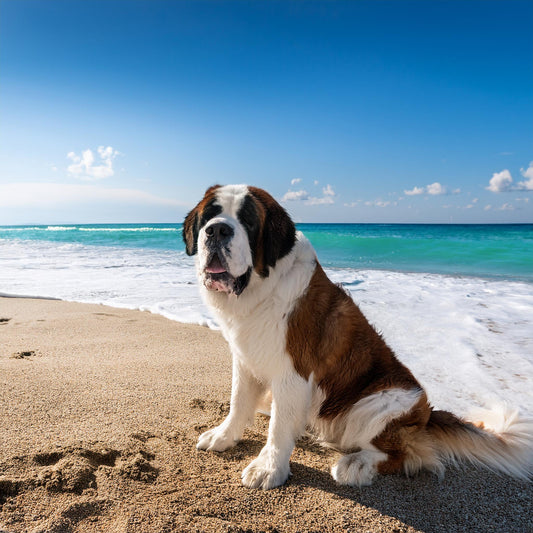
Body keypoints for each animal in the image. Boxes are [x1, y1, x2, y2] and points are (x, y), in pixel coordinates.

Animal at [183, 184, 532, 490]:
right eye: (209, 216)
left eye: (247, 220)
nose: (217, 231)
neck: (260, 289)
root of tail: (427, 414)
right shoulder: (245, 359)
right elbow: (238, 402)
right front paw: (224, 436)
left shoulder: (293, 373)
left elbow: (278, 428)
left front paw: (268, 468)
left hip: (377, 403)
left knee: (403, 454)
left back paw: (356, 465)